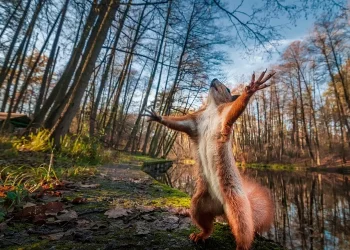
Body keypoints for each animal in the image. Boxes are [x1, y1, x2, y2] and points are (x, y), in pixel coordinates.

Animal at [145, 70, 276, 250]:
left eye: (227, 89)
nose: (214, 79)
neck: (212, 108)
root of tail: (222, 209)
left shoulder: (225, 116)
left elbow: (236, 109)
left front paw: (251, 89)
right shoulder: (194, 122)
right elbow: (178, 123)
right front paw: (158, 117)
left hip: (238, 208)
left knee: (243, 231)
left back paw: (240, 246)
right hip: (199, 204)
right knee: (207, 226)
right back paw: (200, 235)